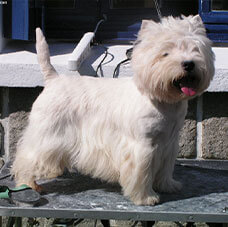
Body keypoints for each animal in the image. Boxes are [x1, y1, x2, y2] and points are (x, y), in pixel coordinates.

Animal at [11, 15, 214, 205]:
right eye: (165, 53)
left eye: (196, 49)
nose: (188, 64)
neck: (163, 100)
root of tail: (53, 79)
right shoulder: (143, 146)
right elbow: (142, 173)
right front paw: (146, 198)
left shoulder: (169, 143)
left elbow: (166, 168)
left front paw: (168, 185)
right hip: (47, 132)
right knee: (28, 157)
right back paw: (28, 183)